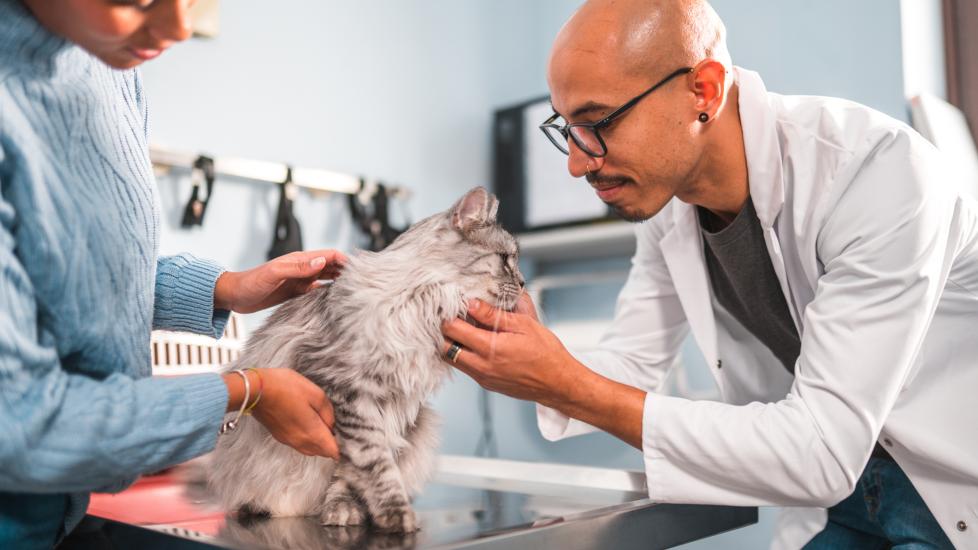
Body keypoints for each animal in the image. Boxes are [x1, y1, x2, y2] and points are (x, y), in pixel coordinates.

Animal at [207, 187, 524, 536]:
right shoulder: (347, 389)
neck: (421, 303)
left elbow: (350, 472)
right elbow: (372, 462)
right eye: (505, 260)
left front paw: (348, 508)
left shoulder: (393, 410)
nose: (524, 283)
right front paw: (395, 515)